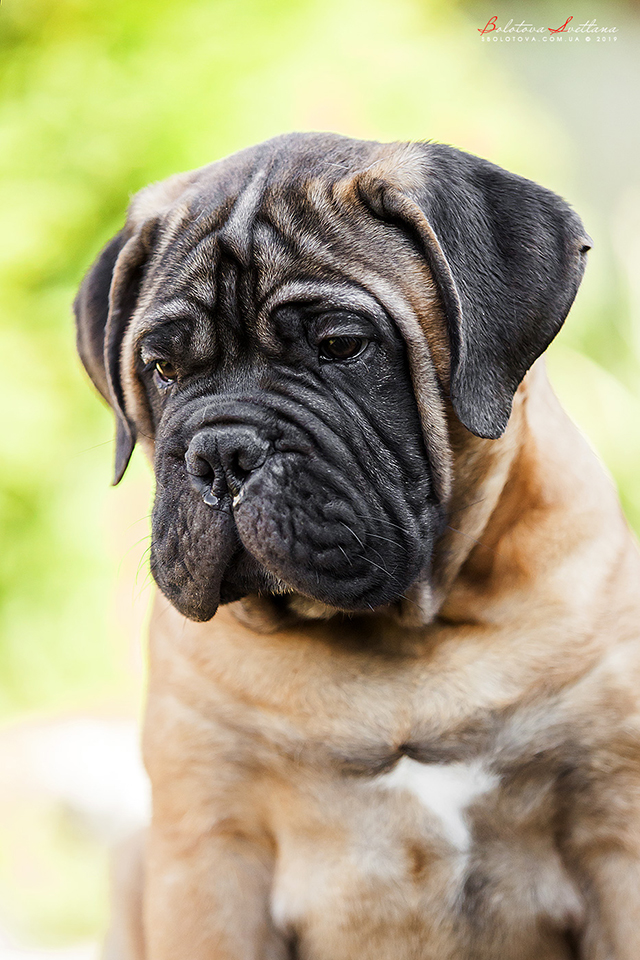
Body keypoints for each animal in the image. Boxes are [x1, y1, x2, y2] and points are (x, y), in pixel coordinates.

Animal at [74, 135, 640, 960]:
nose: (221, 454)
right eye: (163, 368)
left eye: (341, 346)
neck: (403, 637)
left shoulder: (615, 829)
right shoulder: (209, 851)